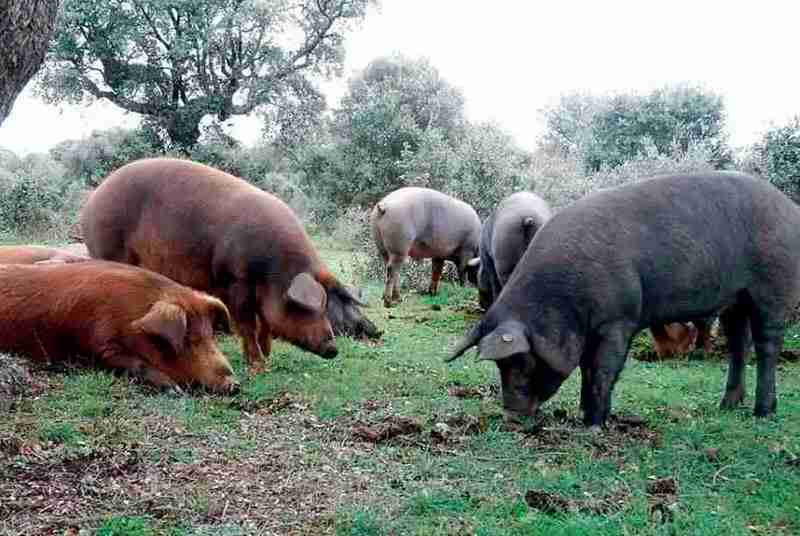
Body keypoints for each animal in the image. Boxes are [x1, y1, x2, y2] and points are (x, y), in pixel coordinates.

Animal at [0, 261, 237, 393]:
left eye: (211, 336)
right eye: (190, 340)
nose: (235, 385)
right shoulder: (101, 344)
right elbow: (135, 363)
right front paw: (173, 389)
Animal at [82, 158, 376, 376]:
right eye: (315, 307)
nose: (333, 349)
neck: (273, 273)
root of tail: (91, 201)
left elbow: (264, 323)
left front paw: (267, 355)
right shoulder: (236, 280)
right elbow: (247, 324)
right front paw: (258, 367)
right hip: (108, 247)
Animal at [448, 172, 800, 427]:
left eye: (520, 360)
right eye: (500, 365)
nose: (510, 416)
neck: (564, 303)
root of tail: (790, 208)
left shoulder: (618, 319)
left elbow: (604, 369)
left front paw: (594, 425)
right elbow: (586, 368)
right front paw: (583, 415)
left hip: (772, 289)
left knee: (767, 345)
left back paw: (763, 413)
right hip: (734, 300)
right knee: (739, 345)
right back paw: (726, 406)